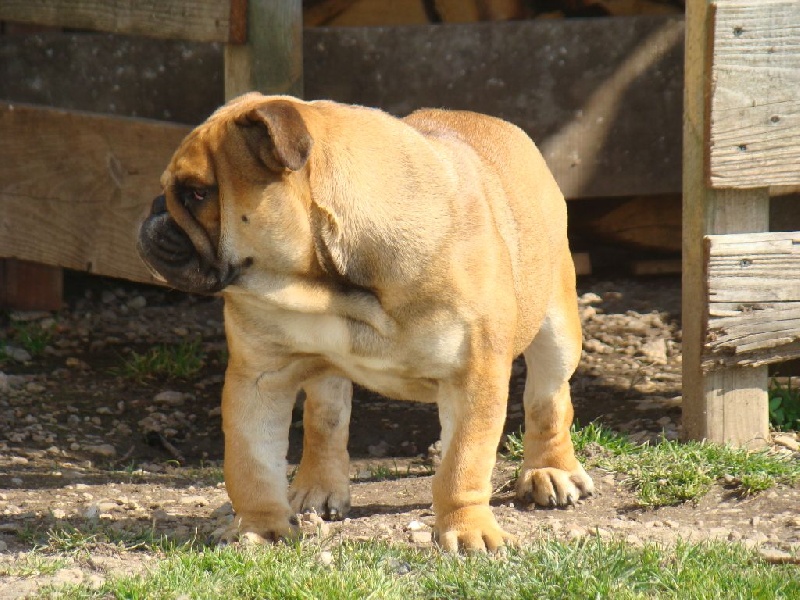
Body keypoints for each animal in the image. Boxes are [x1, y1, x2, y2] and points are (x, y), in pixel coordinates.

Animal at [136, 92, 592, 552]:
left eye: (197, 193)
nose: (154, 211)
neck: (328, 283)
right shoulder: (261, 375)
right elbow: (252, 462)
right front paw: (258, 527)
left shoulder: (475, 376)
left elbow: (464, 463)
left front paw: (467, 529)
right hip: (324, 374)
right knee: (325, 420)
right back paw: (319, 486)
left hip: (557, 329)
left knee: (548, 399)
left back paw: (550, 471)